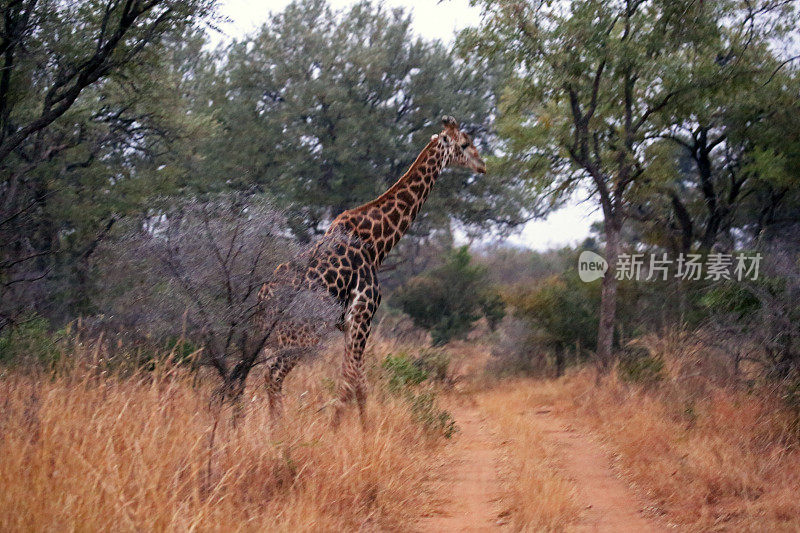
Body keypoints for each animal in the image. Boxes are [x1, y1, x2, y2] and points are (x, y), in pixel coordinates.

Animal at [260, 114, 484, 422]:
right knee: (273, 376)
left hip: (274, 337)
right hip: (299, 334)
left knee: (262, 374)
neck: (375, 244)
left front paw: (358, 429)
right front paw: (344, 431)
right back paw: (279, 430)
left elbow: (357, 382)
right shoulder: (362, 315)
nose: (482, 165)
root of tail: (263, 296)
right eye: (465, 143)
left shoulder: (349, 323)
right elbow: (351, 384)